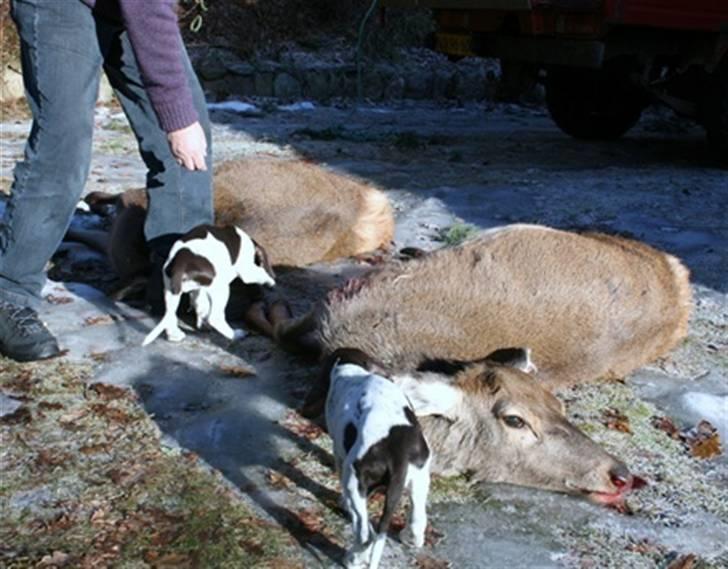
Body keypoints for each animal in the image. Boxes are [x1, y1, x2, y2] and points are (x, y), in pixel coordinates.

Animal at [143, 224, 276, 344]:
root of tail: (180, 264)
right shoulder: (247, 271)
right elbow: (260, 274)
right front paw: (271, 281)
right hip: (221, 288)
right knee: (215, 318)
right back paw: (235, 334)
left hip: (173, 291)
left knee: (172, 314)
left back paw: (176, 334)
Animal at [326, 346, 432, 568]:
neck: (355, 370)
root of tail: (399, 452)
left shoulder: (338, 451)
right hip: (421, 475)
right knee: (419, 516)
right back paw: (411, 538)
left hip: (353, 477)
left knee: (365, 533)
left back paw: (353, 559)